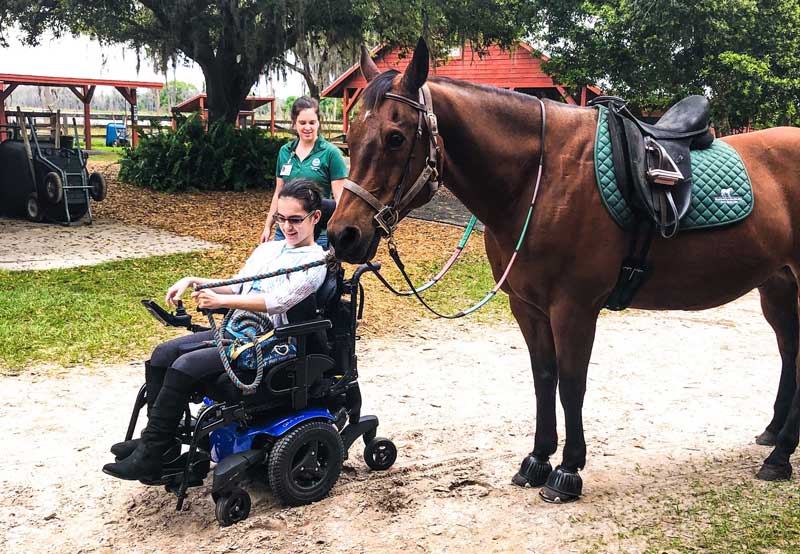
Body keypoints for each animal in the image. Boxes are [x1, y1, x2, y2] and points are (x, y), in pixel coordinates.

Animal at [324, 38, 800, 500]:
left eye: (396, 137)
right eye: (352, 133)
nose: (343, 234)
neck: (540, 179)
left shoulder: (574, 308)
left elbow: (571, 384)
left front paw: (568, 470)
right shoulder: (528, 307)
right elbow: (544, 378)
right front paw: (537, 459)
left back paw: (779, 457)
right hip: (778, 287)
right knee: (788, 352)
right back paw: (775, 435)